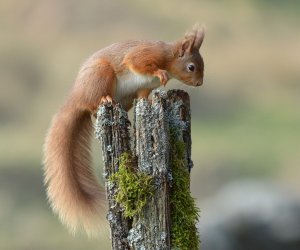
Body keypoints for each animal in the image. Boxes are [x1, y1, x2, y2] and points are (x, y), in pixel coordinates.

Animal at [43, 24, 205, 237]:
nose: (200, 83)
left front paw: (150, 101)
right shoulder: (144, 55)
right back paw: (104, 99)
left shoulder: (144, 87)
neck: (169, 57)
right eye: (191, 67)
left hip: (125, 98)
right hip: (101, 75)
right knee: (93, 104)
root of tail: (77, 98)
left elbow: (144, 96)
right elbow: (137, 62)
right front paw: (160, 72)